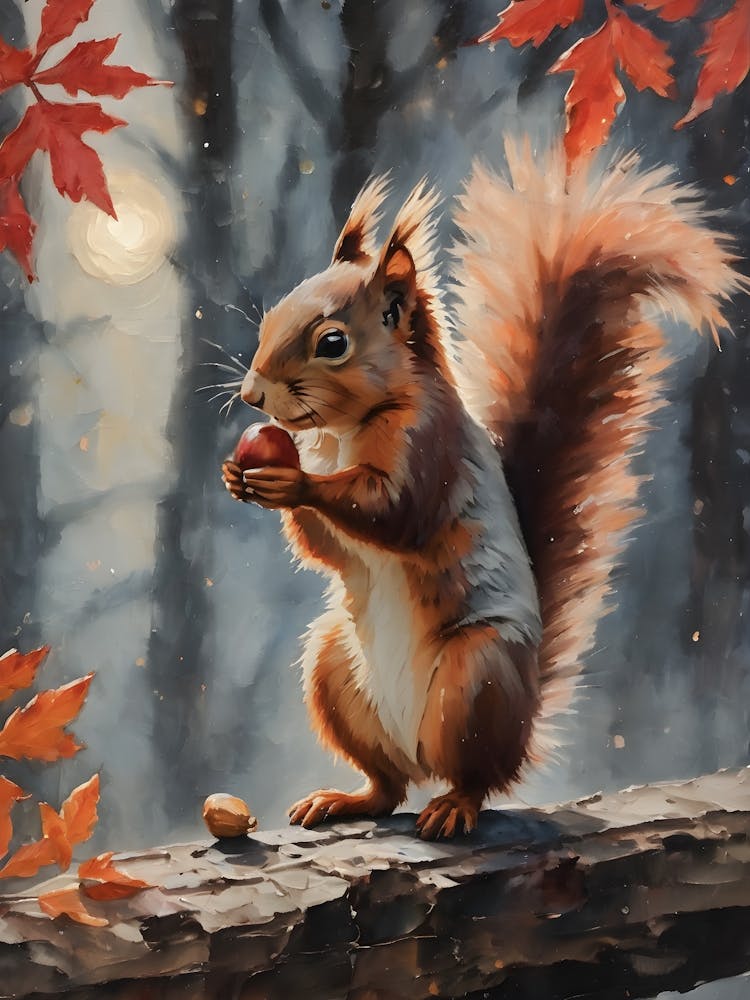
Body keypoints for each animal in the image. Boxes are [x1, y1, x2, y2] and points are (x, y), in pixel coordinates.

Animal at [222, 139, 745, 840]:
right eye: (273, 315)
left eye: (332, 342)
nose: (252, 395)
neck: (348, 429)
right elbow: (326, 550)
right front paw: (241, 476)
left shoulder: (429, 446)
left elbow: (393, 512)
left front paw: (293, 480)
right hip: (334, 669)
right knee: (388, 784)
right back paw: (346, 800)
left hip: (476, 681)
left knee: (475, 776)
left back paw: (453, 806)